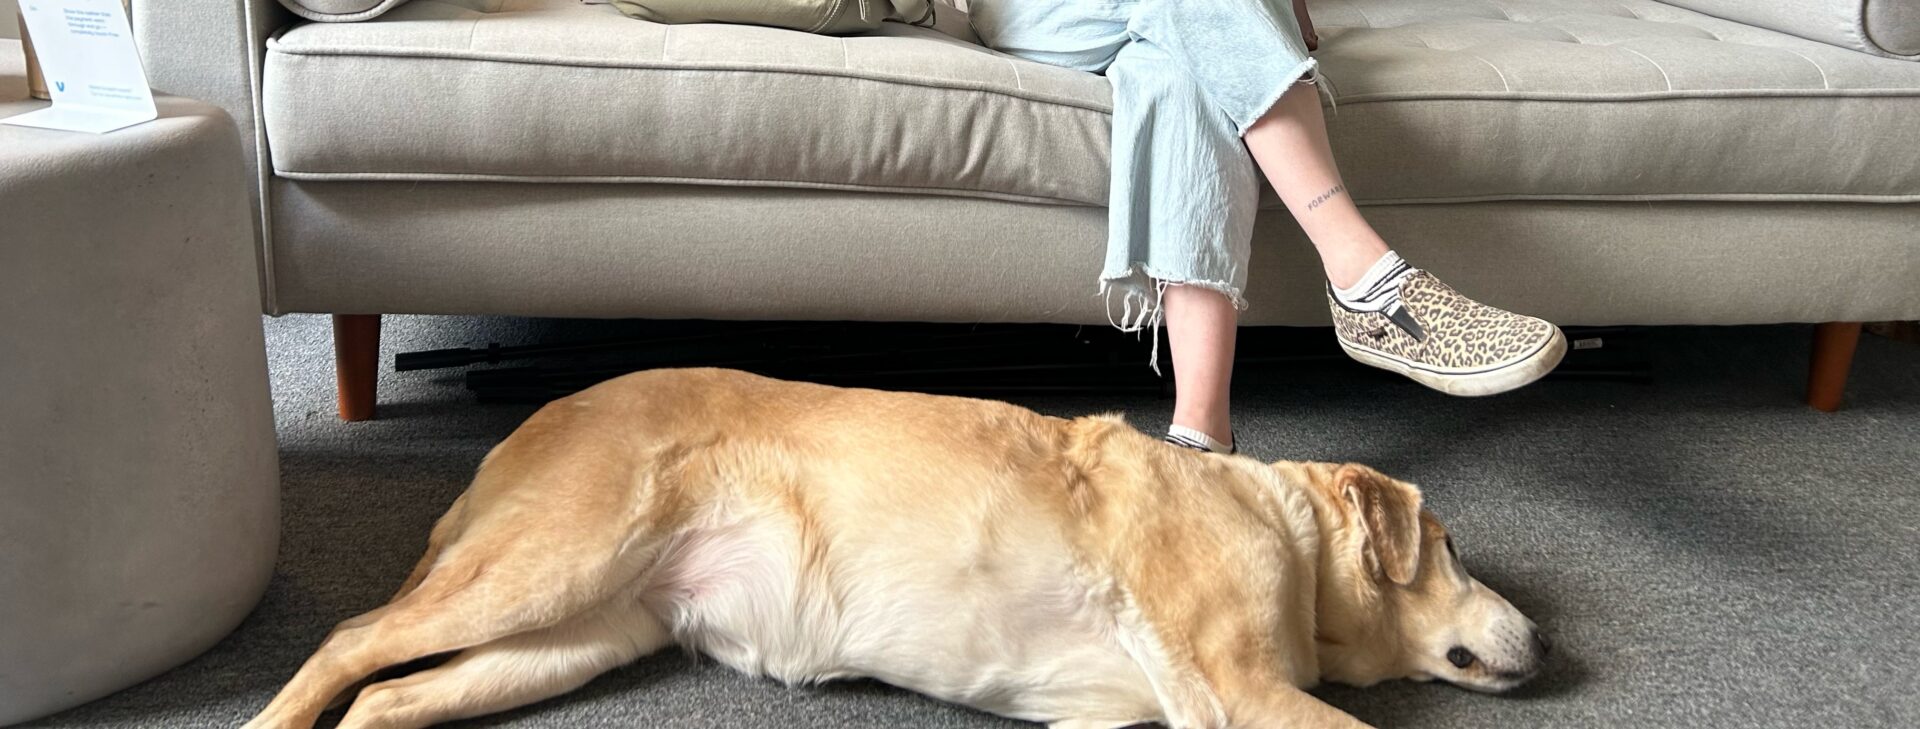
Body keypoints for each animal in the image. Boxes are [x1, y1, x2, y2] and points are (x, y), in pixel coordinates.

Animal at [247, 370, 1551, 729]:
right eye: (1452, 545)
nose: (1541, 640)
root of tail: (531, 419)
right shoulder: (1238, 689)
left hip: (583, 634)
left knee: (387, 697)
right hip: (550, 563)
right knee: (348, 641)